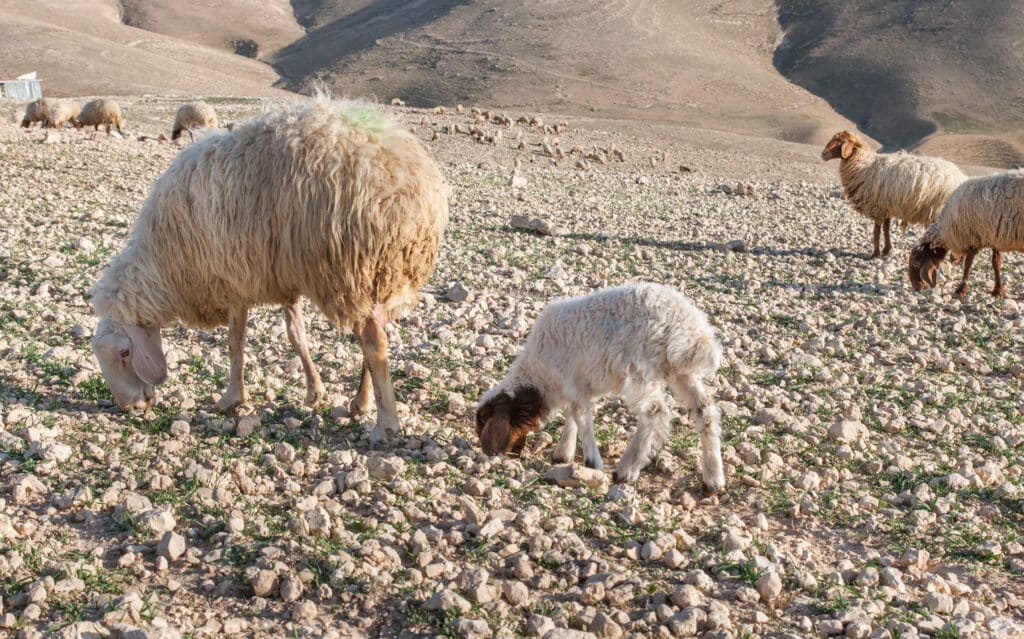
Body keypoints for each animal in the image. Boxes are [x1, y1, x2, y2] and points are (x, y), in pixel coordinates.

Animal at [475, 280, 724, 489]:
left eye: (483, 422)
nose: (508, 455)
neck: (537, 375)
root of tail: (691, 332)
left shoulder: (571, 382)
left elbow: (579, 415)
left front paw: (592, 461)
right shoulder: (578, 386)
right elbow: (572, 414)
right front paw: (563, 452)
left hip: (638, 370)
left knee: (655, 412)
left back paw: (626, 469)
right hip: (681, 372)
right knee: (705, 409)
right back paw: (713, 478)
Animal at [819, 130, 962, 260]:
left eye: (840, 142)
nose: (823, 154)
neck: (864, 165)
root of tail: (959, 178)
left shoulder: (876, 207)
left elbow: (876, 231)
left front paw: (875, 254)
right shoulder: (885, 206)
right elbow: (886, 229)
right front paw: (886, 250)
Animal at [913, 169, 1024, 299]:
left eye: (916, 262)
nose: (916, 287)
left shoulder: (971, 236)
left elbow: (967, 264)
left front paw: (961, 288)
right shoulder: (994, 235)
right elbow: (996, 263)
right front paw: (997, 290)